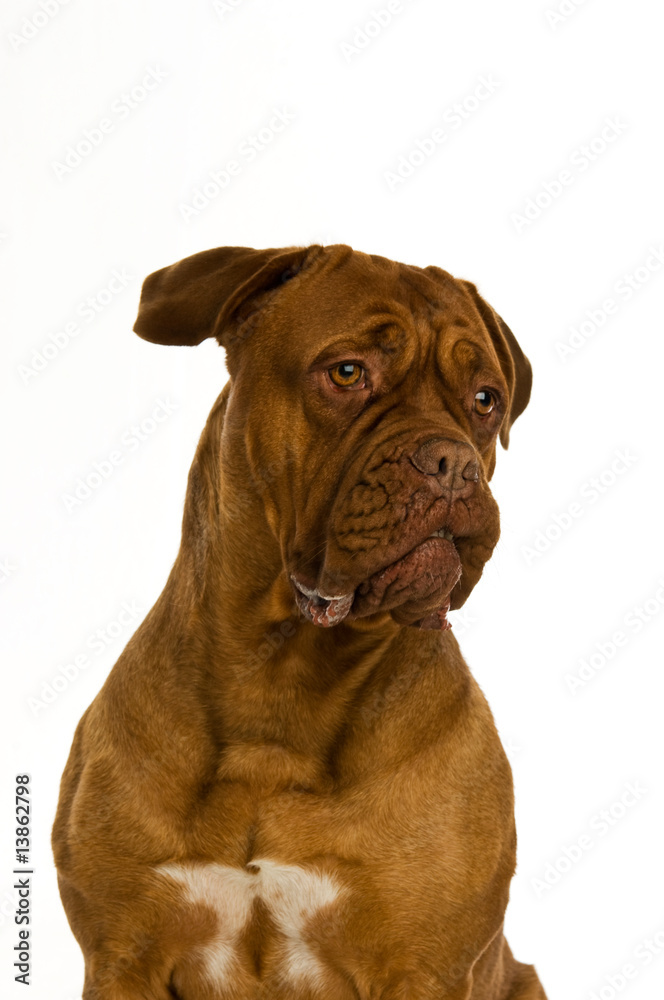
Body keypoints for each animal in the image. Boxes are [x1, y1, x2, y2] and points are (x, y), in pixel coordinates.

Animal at [54, 244, 548, 1000]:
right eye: (347, 372)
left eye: (486, 400)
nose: (455, 464)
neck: (283, 679)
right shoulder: (122, 957)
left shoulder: (423, 966)